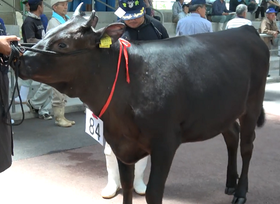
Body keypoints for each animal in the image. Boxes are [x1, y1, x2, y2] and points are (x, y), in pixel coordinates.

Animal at [13, 5, 270, 204]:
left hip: (252, 104)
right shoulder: (120, 142)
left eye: (62, 44)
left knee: (247, 146)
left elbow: (154, 193)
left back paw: (240, 192)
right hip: (222, 110)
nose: (20, 57)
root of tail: (247, 29)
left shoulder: (165, 142)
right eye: (47, 32)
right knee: (232, 136)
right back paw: (230, 183)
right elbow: (126, 186)